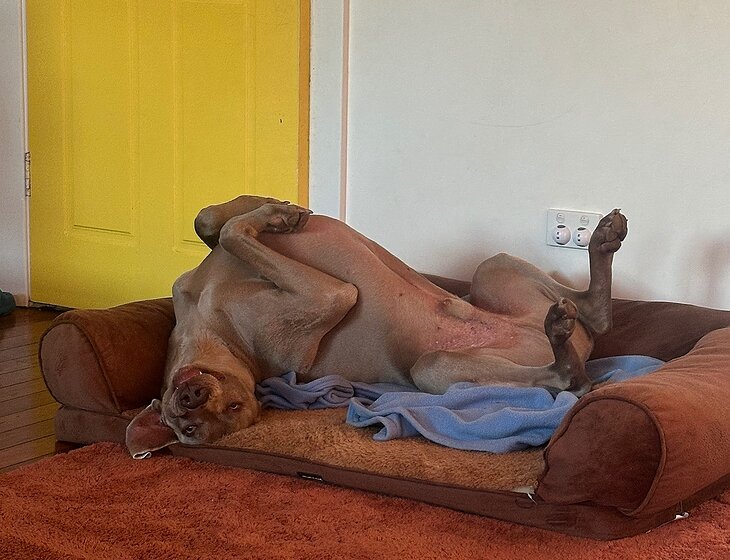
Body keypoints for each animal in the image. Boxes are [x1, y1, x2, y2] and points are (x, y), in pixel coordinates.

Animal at [126, 195, 627, 458]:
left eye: (231, 407)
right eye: (189, 429)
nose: (191, 398)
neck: (211, 331)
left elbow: (212, 222)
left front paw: (273, 209)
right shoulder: (331, 296)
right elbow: (230, 231)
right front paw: (269, 214)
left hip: (493, 269)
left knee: (591, 311)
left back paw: (602, 242)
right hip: (434, 367)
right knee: (570, 371)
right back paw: (564, 343)